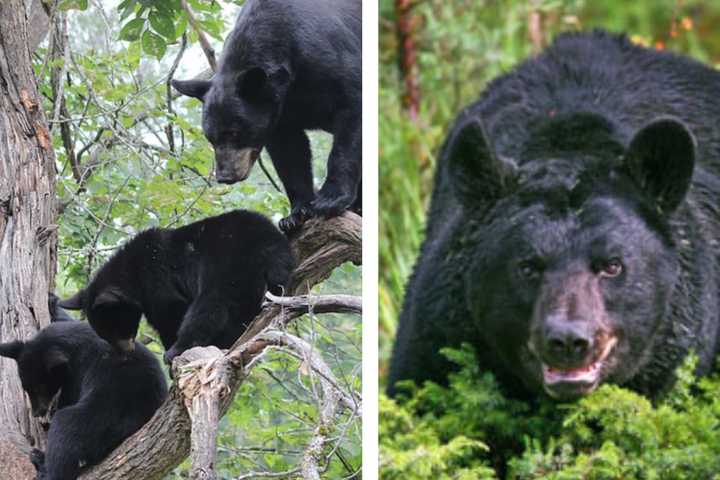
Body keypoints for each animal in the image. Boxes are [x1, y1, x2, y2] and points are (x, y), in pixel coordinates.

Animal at [0, 294, 166, 478]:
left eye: (40, 388)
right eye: (27, 388)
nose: (37, 412)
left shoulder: (81, 372)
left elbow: (69, 400)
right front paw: (52, 301)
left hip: (108, 419)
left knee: (67, 428)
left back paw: (43, 464)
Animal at [60, 210, 294, 364]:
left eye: (115, 327)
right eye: (104, 333)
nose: (124, 353)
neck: (131, 273)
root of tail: (265, 243)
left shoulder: (156, 279)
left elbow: (170, 313)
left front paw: (171, 346)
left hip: (227, 266)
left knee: (210, 307)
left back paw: (179, 349)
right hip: (270, 264)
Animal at [174, 0, 362, 232]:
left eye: (234, 133)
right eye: (210, 138)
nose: (225, 176)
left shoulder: (331, 61)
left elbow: (351, 116)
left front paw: (330, 200)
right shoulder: (281, 113)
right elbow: (290, 153)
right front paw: (296, 214)